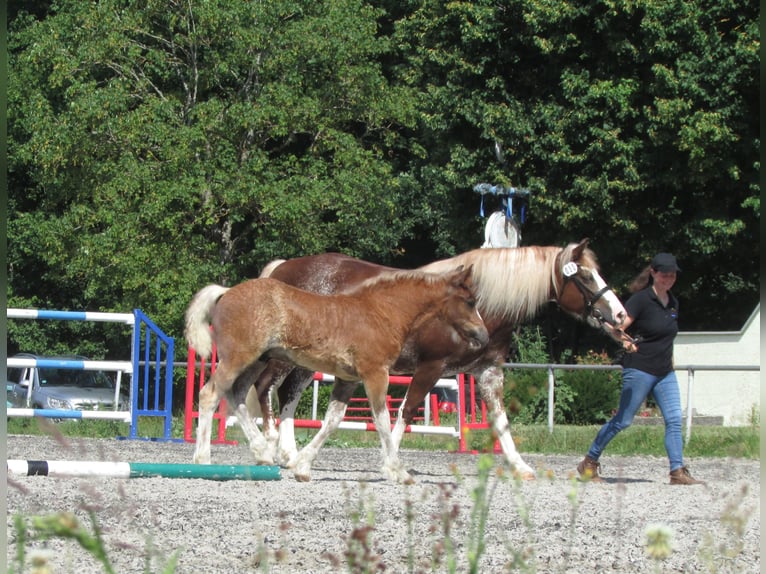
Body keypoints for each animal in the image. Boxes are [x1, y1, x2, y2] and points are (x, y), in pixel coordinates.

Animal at [185, 266, 488, 483]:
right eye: (470, 301)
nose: (484, 336)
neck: (382, 313)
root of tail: (226, 292)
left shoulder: (348, 379)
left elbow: (332, 420)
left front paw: (302, 467)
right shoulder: (375, 374)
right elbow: (382, 420)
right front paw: (396, 471)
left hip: (256, 361)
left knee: (235, 394)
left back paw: (262, 453)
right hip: (239, 358)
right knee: (210, 394)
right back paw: (202, 459)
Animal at [246, 239, 629, 482]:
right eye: (584, 276)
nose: (621, 316)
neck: (482, 306)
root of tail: (282, 268)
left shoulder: (487, 372)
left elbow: (500, 421)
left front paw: (520, 467)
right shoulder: (431, 368)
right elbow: (406, 412)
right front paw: (390, 464)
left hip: (308, 363)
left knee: (288, 394)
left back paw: (289, 455)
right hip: (286, 359)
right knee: (266, 388)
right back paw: (271, 449)